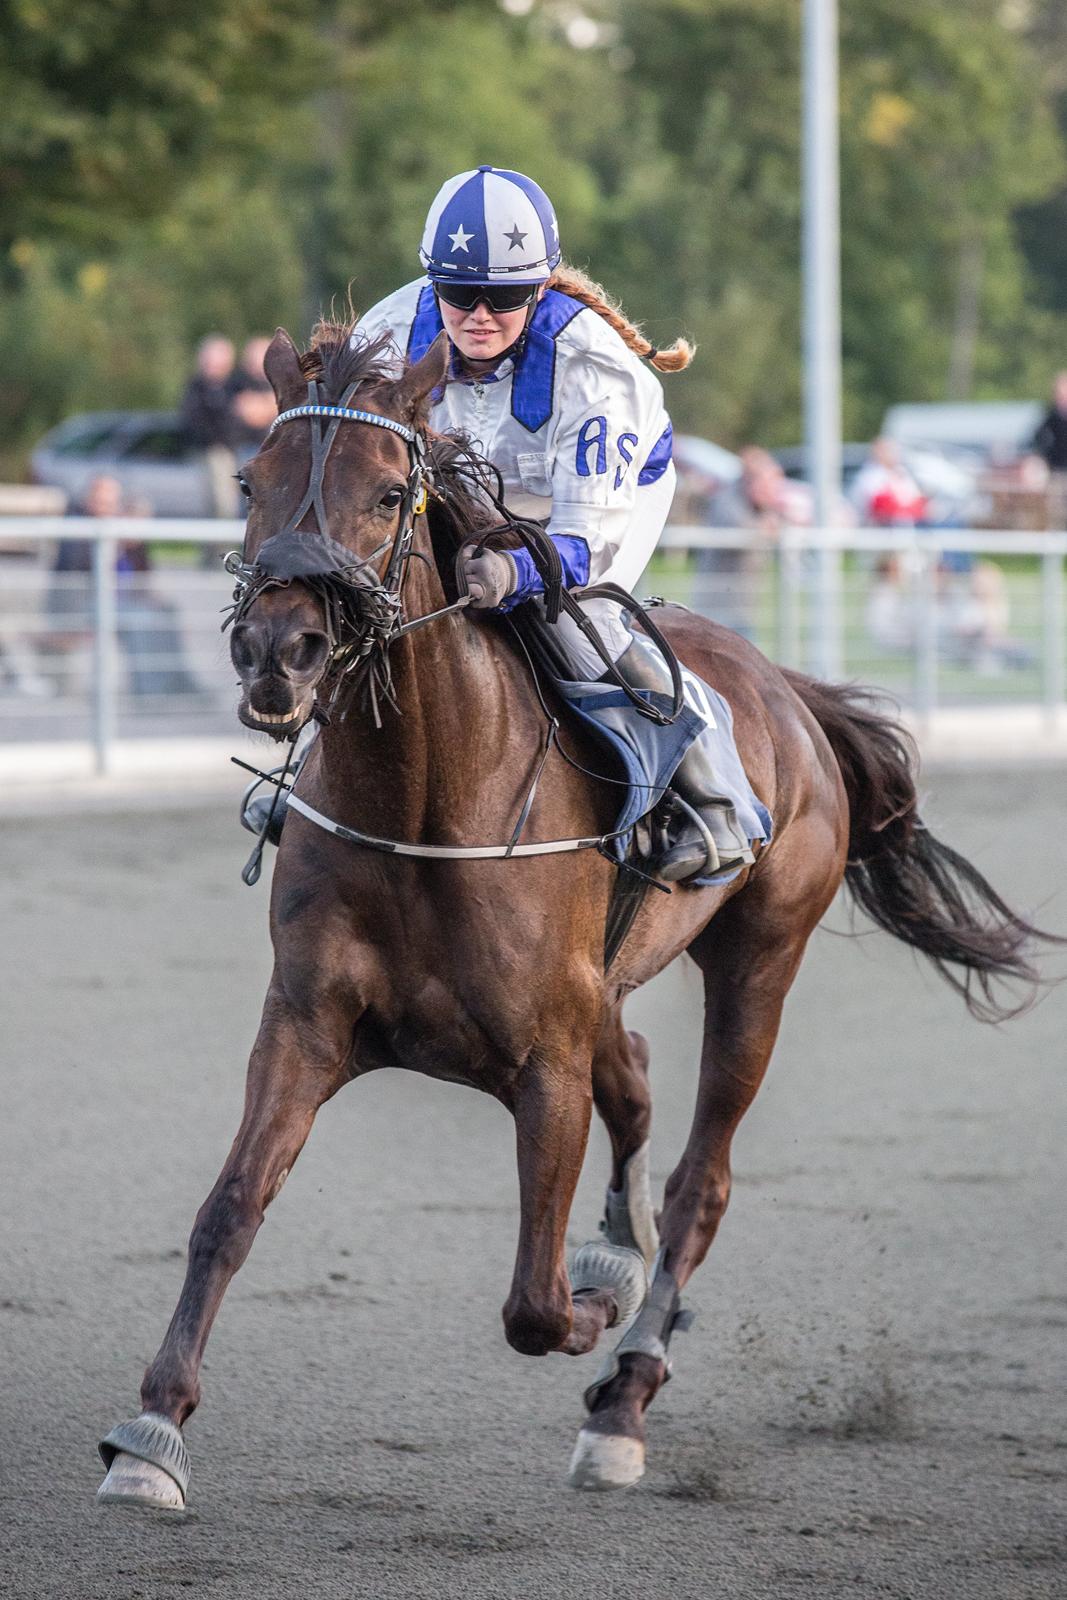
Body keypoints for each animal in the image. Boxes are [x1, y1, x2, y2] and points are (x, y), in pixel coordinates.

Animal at [95, 324, 1049, 1510]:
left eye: (387, 492)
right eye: (247, 481)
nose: (278, 650)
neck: (422, 804)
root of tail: (788, 690)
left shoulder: (544, 1063)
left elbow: (535, 1304)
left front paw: (601, 1312)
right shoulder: (305, 1022)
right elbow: (227, 1209)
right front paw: (151, 1430)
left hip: (760, 958)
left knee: (698, 1183)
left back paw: (624, 1392)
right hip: (610, 981)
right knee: (632, 1071)